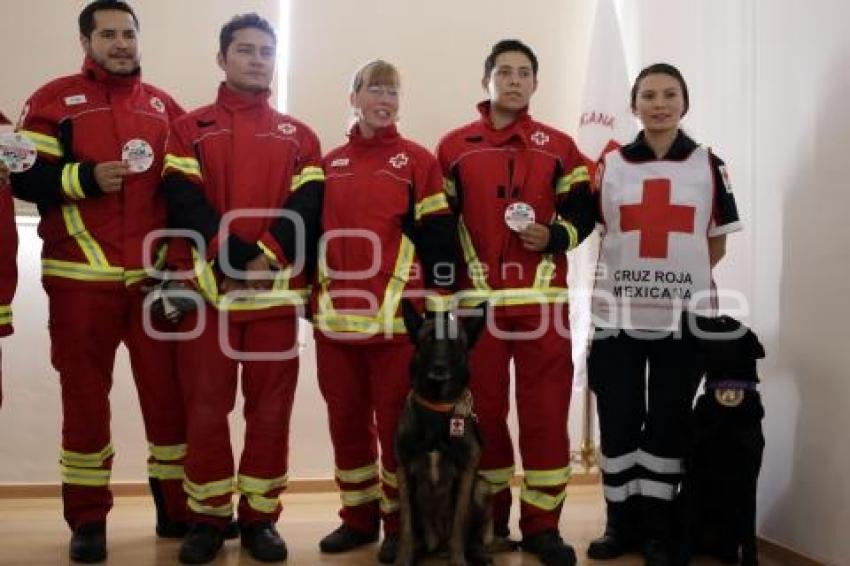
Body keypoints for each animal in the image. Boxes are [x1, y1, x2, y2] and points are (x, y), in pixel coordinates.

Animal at [396, 302, 494, 566]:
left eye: (454, 343)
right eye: (429, 339)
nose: (439, 368)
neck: (436, 408)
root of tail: (437, 545)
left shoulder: (466, 473)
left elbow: (459, 528)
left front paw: (459, 560)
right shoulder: (403, 472)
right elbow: (407, 528)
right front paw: (403, 558)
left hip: (481, 488)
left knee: (471, 537)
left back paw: (479, 553)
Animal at [680, 318, 764, 566]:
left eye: (723, 321)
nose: (684, 315)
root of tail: (708, 545)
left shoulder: (749, 475)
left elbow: (750, 532)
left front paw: (751, 561)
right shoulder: (694, 470)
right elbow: (687, 524)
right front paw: (680, 557)